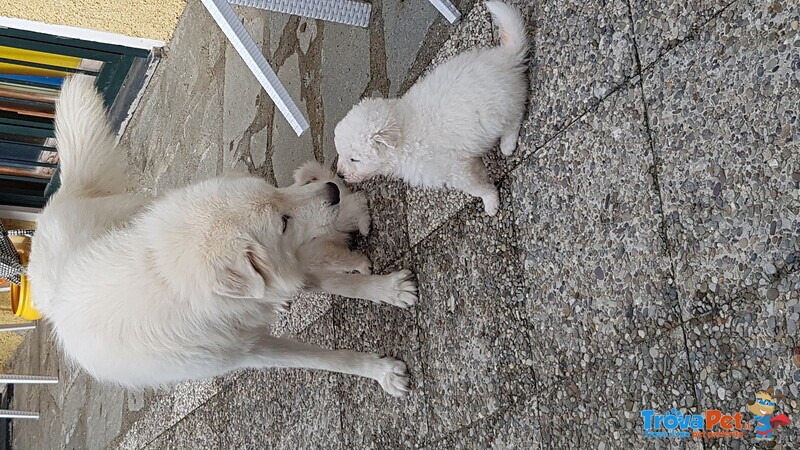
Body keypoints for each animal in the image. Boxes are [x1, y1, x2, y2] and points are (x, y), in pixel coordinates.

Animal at [26, 75, 418, 396]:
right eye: (283, 222)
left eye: (276, 191)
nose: (333, 190)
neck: (171, 281)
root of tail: (58, 203)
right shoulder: (250, 350)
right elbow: (329, 359)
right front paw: (381, 372)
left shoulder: (278, 268)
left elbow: (337, 284)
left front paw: (388, 290)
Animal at [334, 0, 528, 216]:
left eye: (354, 159)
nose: (339, 175)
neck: (404, 134)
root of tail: (506, 58)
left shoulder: (453, 169)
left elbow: (476, 188)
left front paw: (490, 202)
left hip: (499, 108)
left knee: (515, 117)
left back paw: (507, 145)